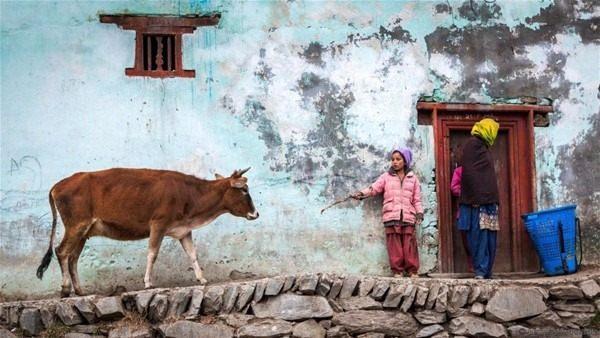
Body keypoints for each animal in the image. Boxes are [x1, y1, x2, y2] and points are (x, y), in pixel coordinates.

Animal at [35, 168, 258, 298]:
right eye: (244, 190)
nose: (255, 213)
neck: (190, 196)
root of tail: (58, 185)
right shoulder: (158, 223)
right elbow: (152, 253)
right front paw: (148, 282)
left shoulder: (183, 230)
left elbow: (192, 254)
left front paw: (202, 279)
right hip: (76, 225)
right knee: (62, 251)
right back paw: (65, 289)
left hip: (83, 231)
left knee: (73, 258)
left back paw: (80, 290)